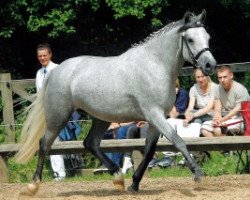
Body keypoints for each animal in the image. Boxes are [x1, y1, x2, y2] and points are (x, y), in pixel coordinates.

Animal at [14, 9, 216, 195]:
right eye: (190, 39)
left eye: (207, 37)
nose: (210, 65)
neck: (155, 65)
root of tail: (56, 71)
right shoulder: (154, 114)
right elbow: (178, 141)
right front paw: (198, 174)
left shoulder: (155, 120)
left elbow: (149, 151)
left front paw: (134, 184)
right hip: (59, 116)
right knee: (44, 145)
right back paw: (33, 185)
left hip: (100, 118)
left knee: (90, 143)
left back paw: (118, 177)